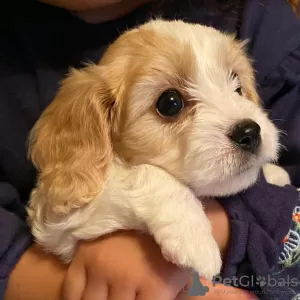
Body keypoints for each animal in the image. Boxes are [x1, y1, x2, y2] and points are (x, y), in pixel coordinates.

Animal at [27, 19, 290, 280]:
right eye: (170, 103)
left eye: (237, 87)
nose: (250, 132)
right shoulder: (57, 224)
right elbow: (142, 172)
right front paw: (194, 237)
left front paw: (276, 174)